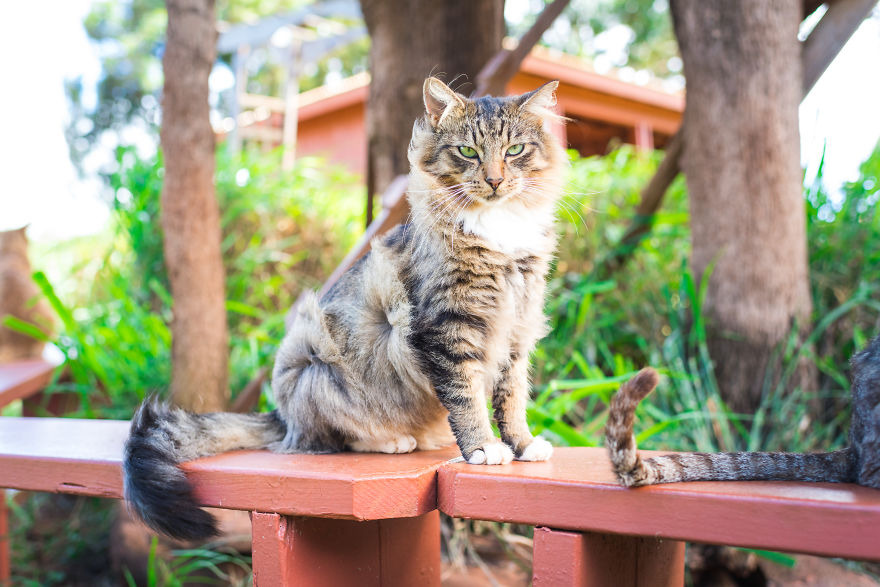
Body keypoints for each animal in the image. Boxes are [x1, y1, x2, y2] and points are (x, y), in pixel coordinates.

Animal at [124, 78, 568, 544]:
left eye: (514, 150)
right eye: (468, 151)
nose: (495, 181)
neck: (500, 237)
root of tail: (282, 416)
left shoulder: (517, 332)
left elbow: (512, 401)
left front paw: (523, 444)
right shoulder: (448, 330)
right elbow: (467, 401)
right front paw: (483, 448)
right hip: (319, 369)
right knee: (328, 441)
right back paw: (392, 441)